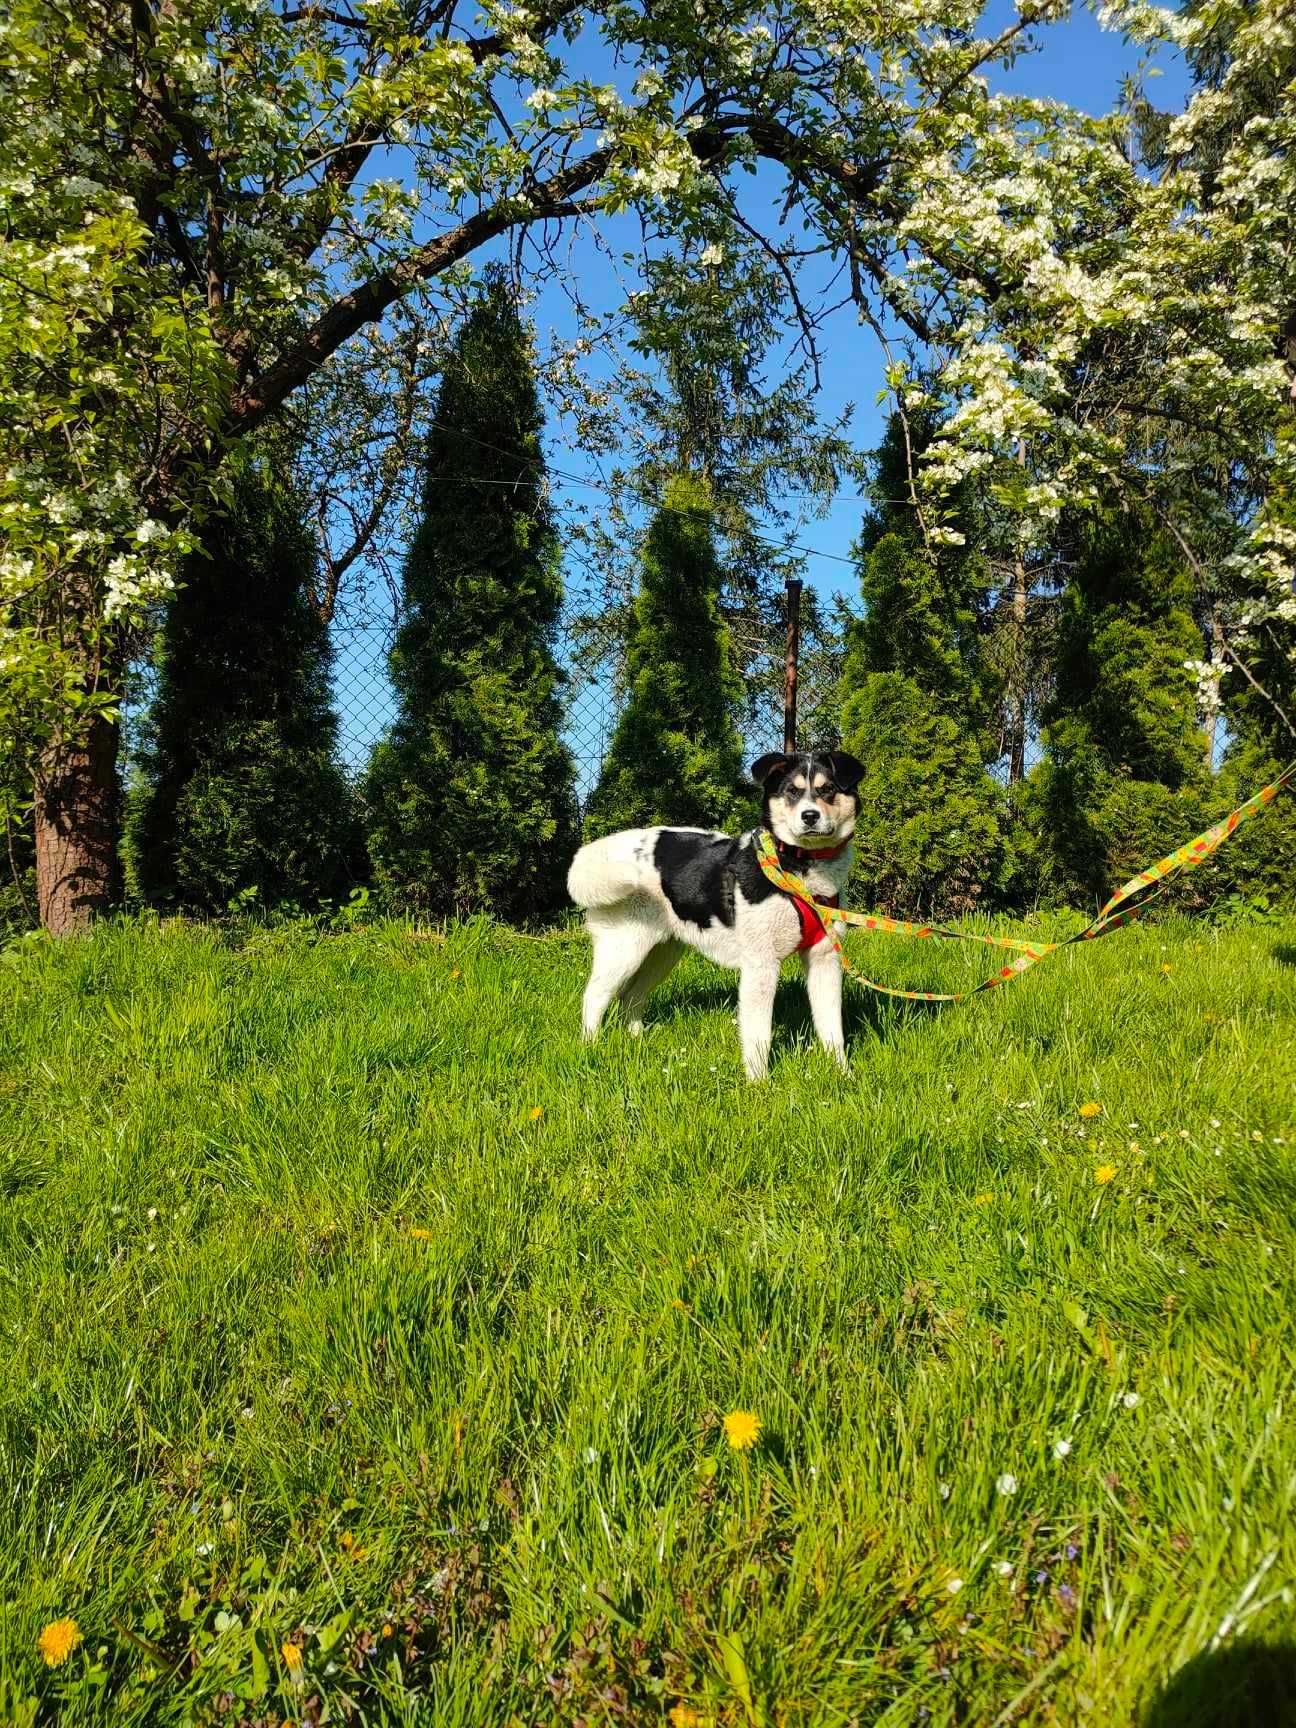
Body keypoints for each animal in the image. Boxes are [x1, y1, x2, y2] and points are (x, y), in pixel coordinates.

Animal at [566, 746, 864, 1071]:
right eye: (791, 792)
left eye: (828, 789)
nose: (810, 816)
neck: (799, 868)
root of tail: (609, 849)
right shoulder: (761, 965)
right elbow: (759, 1036)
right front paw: (759, 1080)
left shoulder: (824, 960)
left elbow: (832, 1030)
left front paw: (842, 1074)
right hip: (623, 950)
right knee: (594, 996)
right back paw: (591, 1048)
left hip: (662, 952)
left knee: (631, 996)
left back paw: (637, 1041)